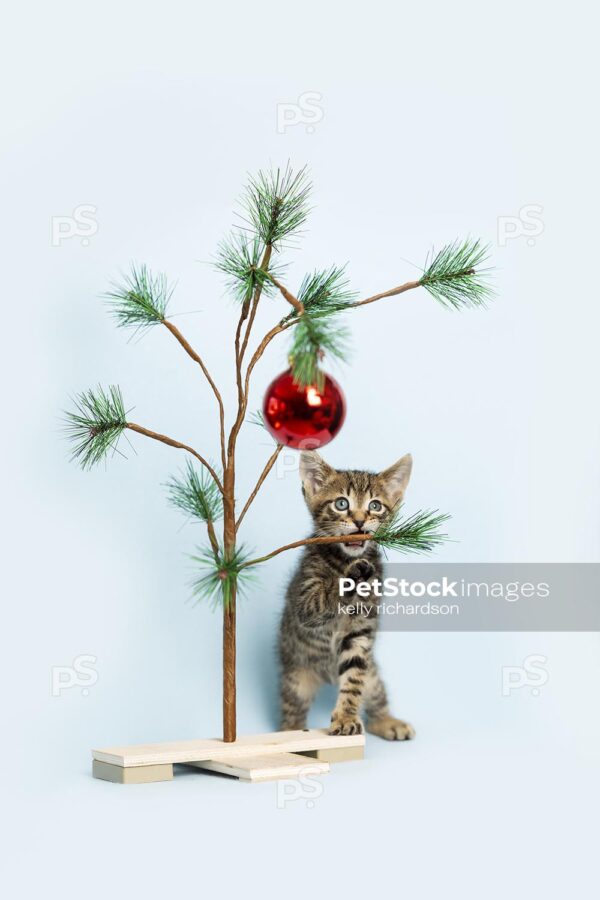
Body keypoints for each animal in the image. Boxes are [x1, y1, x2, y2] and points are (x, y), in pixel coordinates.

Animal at [278, 450, 414, 740]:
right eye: (341, 503)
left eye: (375, 506)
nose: (360, 520)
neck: (343, 559)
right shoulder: (306, 600)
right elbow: (323, 596)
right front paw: (352, 575)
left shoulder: (361, 629)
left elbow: (353, 680)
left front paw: (346, 718)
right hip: (296, 677)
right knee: (292, 709)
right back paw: (290, 733)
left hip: (373, 676)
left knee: (375, 695)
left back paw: (387, 721)